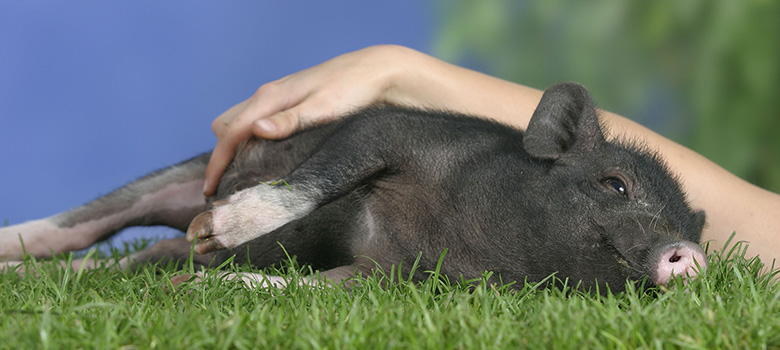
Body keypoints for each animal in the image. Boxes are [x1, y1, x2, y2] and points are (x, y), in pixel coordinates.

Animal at [0, 82, 708, 292]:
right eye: (615, 185)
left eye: (687, 225)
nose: (691, 254)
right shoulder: (390, 131)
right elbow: (321, 179)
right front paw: (219, 232)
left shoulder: (393, 278)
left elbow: (313, 287)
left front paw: (198, 285)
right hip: (197, 170)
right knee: (92, 221)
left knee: (133, 253)